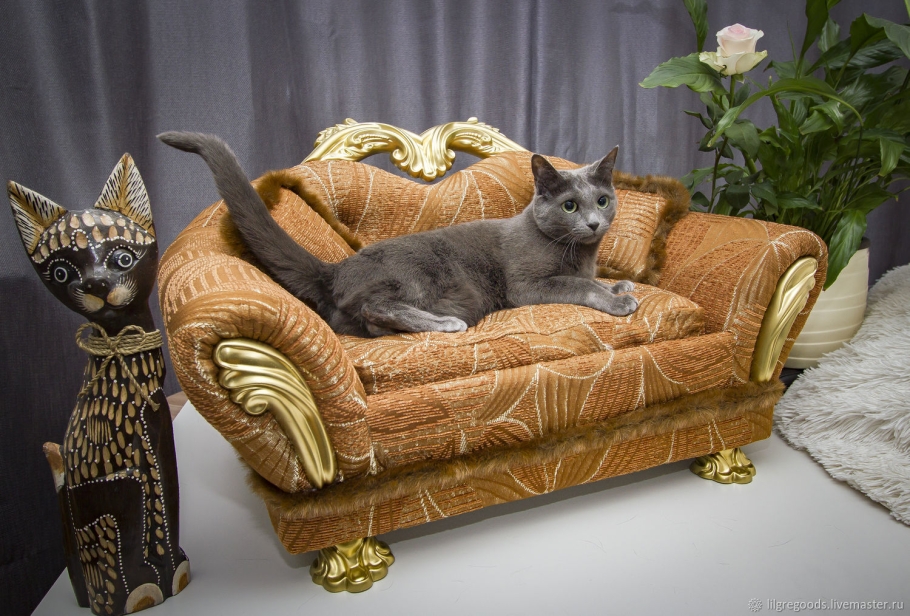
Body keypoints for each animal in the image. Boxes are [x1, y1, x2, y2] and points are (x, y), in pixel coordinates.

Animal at [8, 154, 189, 615]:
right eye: (59, 271)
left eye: (122, 258)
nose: (96, 285)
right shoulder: (139, 457)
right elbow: (157, 508)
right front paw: (161, 578)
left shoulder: (157, 432)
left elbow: (167, 500)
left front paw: (173, 570)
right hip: (105, 493)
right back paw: (136, 591)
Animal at [158, 132, 638, 338]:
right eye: (570, 206)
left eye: (602, 200)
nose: (594, 223)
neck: (582, 252)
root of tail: (337, 269)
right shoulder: (528, 284)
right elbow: (577, 285)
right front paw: (617, 299)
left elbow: (594, 280)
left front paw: (621, 285)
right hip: (418, 271)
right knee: (375, 307)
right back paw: (446, 323)